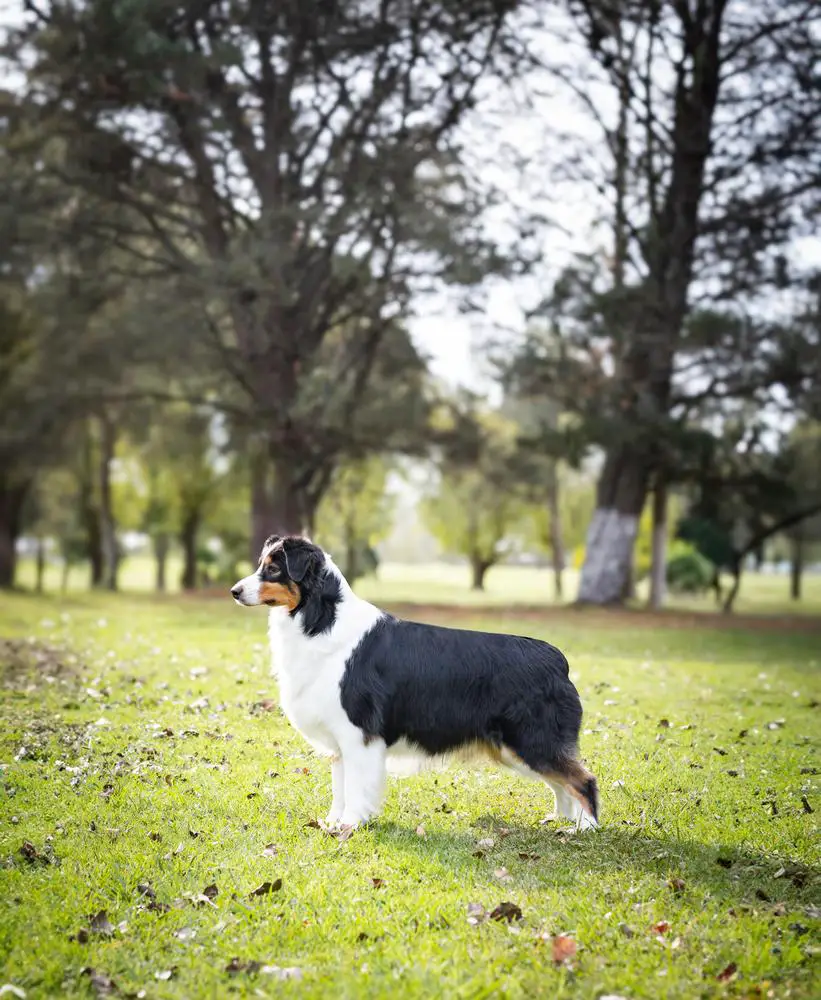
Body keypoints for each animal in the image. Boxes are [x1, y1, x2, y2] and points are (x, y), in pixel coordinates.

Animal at [231, 536, 596, 832]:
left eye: (273, 569)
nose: (234, 591)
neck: (321, 619)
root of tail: (558, 660)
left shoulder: (359, 732)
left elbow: (355, 787)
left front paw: (351, 824)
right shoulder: (340, 740)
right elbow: (339, 787)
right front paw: (333, 822)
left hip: (533, 739)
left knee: (583, 779)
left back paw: (584, 828)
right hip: (517, 746)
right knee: (561, 783)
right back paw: (560, 820)